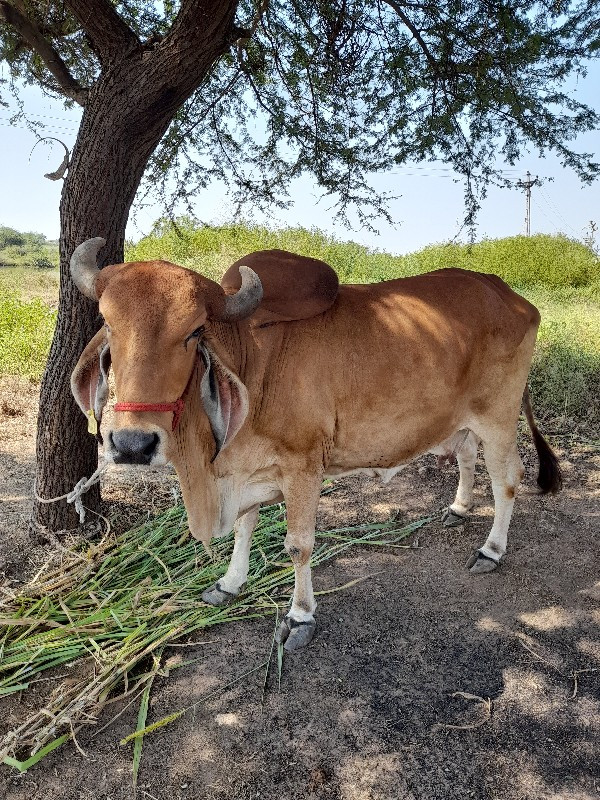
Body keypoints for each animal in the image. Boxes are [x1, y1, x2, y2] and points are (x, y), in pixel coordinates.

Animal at [70, 238, 564, 648]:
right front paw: (229, 583)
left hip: (497, 417)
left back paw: (491, 549)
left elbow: (298, 545)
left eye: (193, 331)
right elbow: (245, 528)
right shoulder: (247, 467)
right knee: (465, 454)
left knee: (508, 480)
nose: (132, 444)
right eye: (108, 325)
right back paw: (458, 509)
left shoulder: (304, 467)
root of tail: (509, 294)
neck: (252, 358)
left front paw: (300, 616)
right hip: (459, 420)